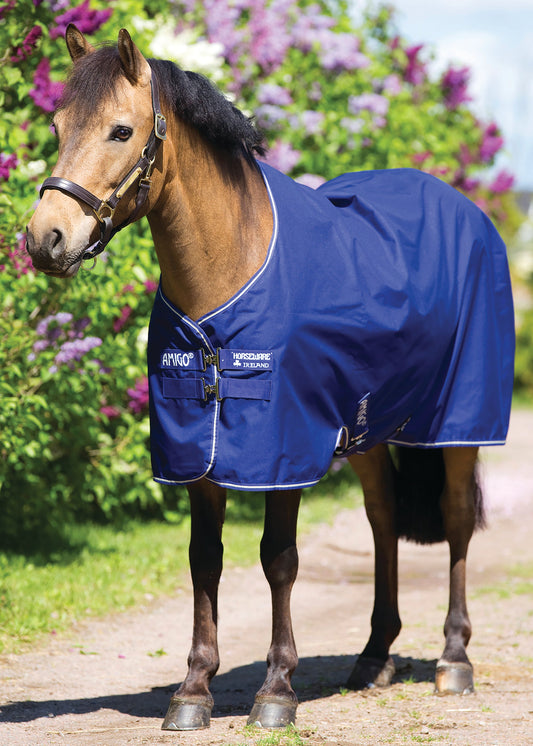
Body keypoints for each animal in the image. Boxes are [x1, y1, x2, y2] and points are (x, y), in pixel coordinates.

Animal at [26, 25, 514, 732]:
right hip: (365, 429)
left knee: (453, 520)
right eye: (57, 126)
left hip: (458, 424)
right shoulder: (197, 449)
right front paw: (193, 690)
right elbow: (205, 559)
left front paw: (277, 689)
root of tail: (467, 211)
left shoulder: (282, 447)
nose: (46, 239)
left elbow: (278, 559)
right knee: (383, 518)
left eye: (120, 130)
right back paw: (374, 656)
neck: (230, 270)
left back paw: (454, 659)